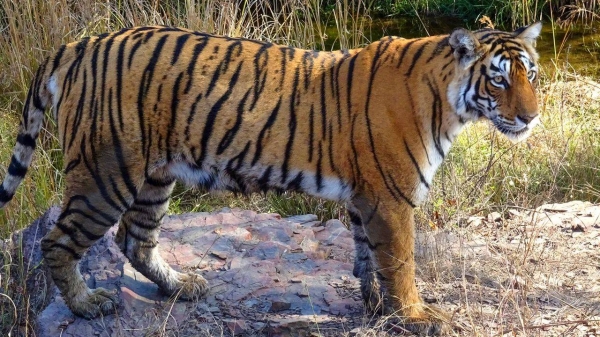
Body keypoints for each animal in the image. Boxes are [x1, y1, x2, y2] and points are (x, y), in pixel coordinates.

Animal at [0, 23, 540, 334]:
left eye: (531, 74)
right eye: (499, 79)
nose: (532, 118)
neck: (451, 103)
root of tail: (79, 44)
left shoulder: (366, 195)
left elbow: (369, 257)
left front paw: (377, 308)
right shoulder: (391, 196)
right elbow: (401, 262)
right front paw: (416, 316)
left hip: (155, 176)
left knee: (135, 238)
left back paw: (181, 286)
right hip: (106, 174)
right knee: (59, 241)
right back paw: (87, 305)